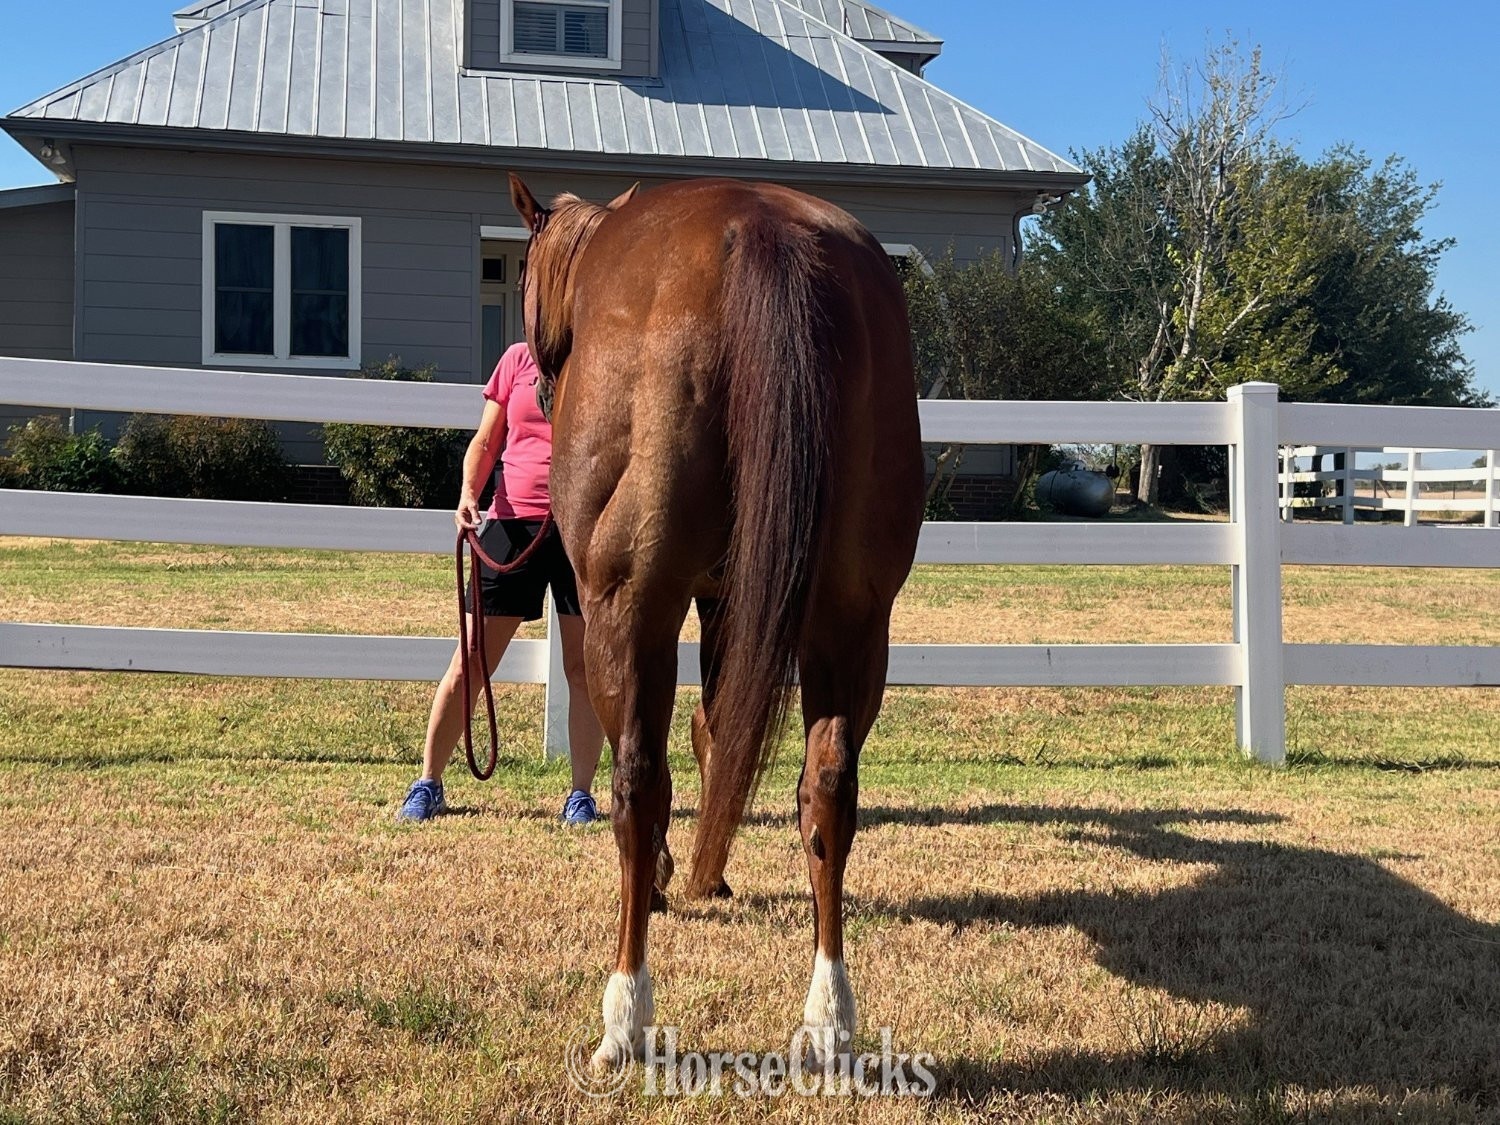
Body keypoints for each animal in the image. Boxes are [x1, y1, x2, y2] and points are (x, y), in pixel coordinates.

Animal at [508, 173, 924, 1071]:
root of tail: (762, 232)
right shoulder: (733, 598)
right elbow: (719, 730)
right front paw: (710, 869)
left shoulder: (639, 605)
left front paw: (674, 873)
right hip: (853, 620)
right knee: (828, 784)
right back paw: (828, 1013)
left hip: (630, 607)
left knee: (637, 779)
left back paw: (626, 1013)